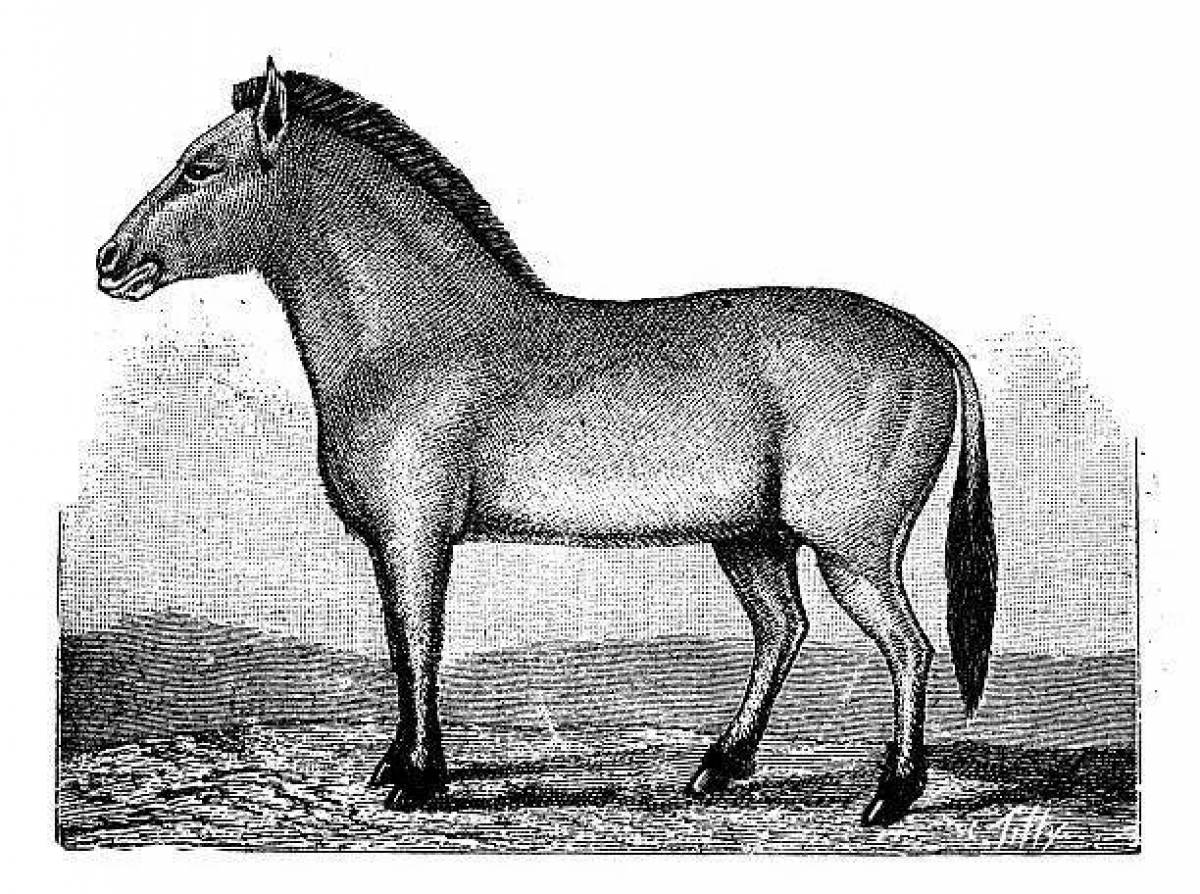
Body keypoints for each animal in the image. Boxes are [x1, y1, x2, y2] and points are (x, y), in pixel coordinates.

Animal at [97, 58, 997, 827]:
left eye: (199, 169)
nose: (109, 259)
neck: (418, 333)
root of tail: (930, 342)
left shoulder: (415, 536)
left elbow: (419, 644)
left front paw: (417, 780)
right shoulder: (393, 543)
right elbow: (401, 644)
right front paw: (395, 766)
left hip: (853, 549)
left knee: (908, 649)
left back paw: (890, 794)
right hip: (750, 538)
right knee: (783, 630)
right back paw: (717, 768)